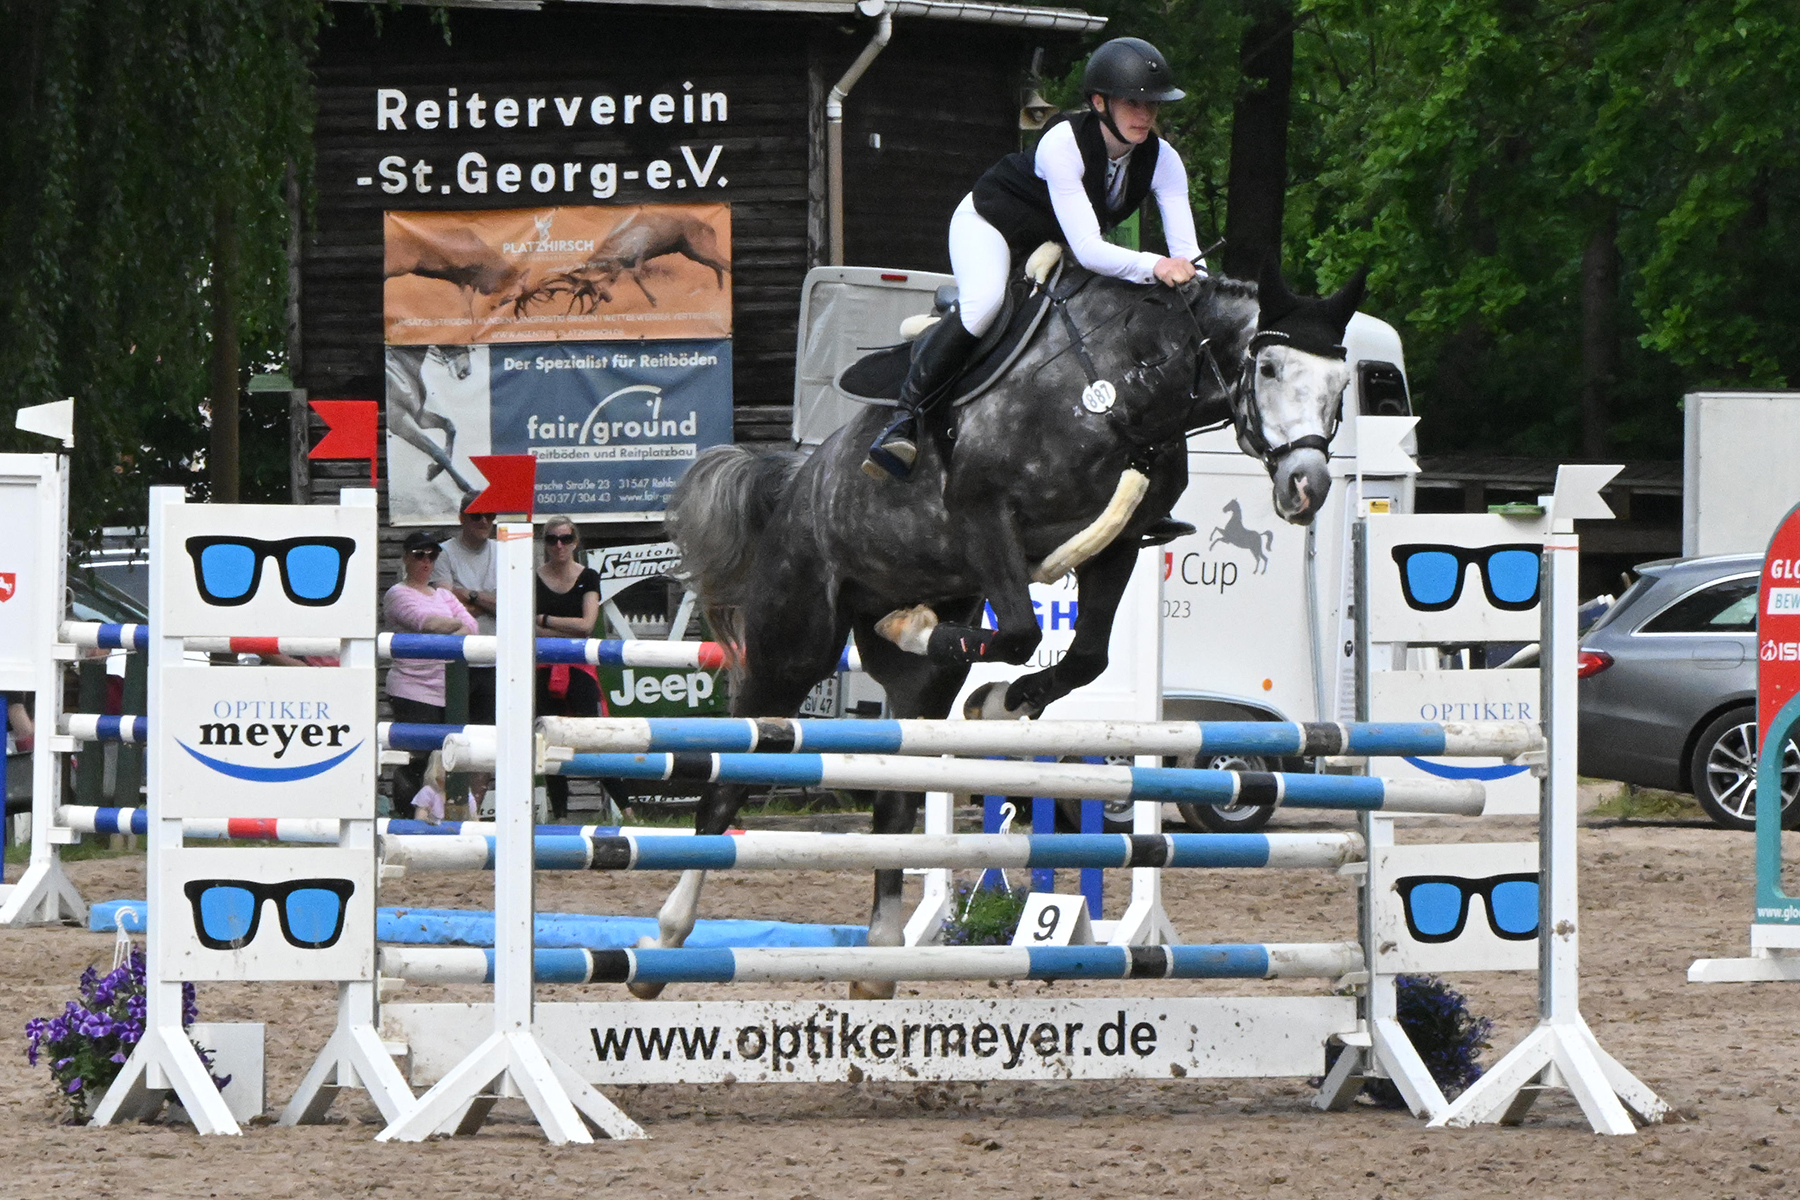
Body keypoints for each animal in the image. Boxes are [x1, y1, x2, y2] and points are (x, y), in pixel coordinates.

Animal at [636, 257, 1366, 1000]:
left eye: (1342, 385)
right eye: (1268, 367)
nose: (1305, 487)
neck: (1124, 391)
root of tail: (794, 481)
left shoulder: (1117, 547)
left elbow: (1086, 657)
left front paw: (1003, 702)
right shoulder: (987, 519)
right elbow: (1019, 634)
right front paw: (979, 686)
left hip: (915, 678)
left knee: (894, 800)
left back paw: (879, 956)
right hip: (794, 646)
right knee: (727, 785)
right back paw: (665, 940)